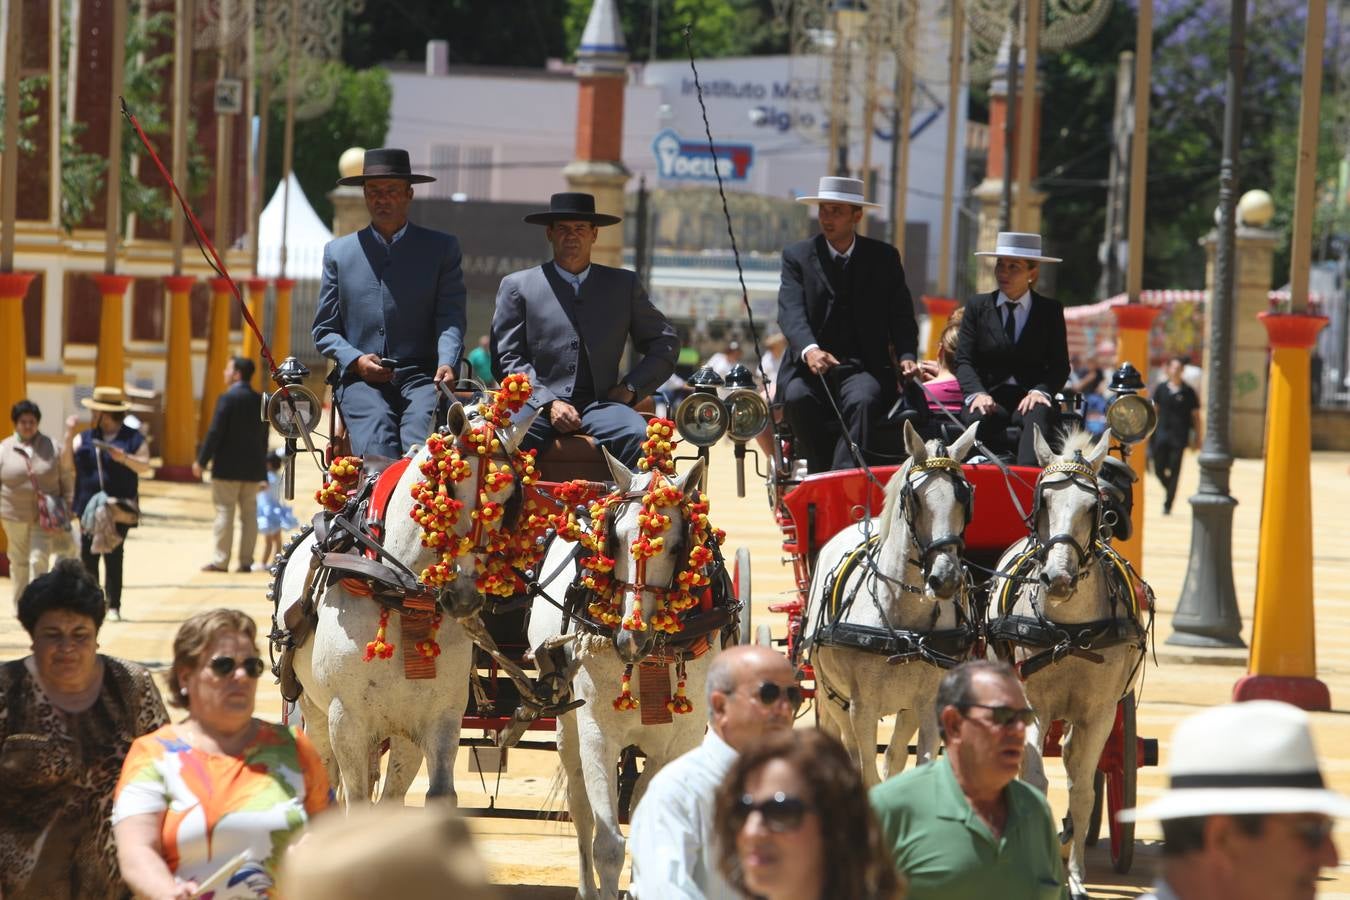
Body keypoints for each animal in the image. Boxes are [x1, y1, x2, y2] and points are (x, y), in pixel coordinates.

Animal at [279, 404, 537, 804]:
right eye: (448, 488)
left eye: (510, 498)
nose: (464, 596)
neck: (400, 594)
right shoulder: (347, 720)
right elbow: (354, 797)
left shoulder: (440, 718)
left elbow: (439, 793)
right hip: (313, 710)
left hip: (401, 731)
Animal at [529, 453, 718, 900]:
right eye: (613, 541)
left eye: (677, 545)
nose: (630, 640)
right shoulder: (598, 734)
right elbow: (608, 844)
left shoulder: (679, 741)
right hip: (568, 723)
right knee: (580, 807)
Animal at [799, 418, 982, 782]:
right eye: (915, 499)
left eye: (965, 497)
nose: (946, 578)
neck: (906, 626)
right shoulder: (861, 707)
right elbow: (865, 768)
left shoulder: (928, 703)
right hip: (832, 695)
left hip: (906, 707)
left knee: (895, 754)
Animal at [988, 431, 1144, 900]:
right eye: (1043, 501)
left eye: (1095, 506)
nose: (1057, 578)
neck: (1069, 630)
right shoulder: (1031, 707)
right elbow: (1035, 779)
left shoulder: (1099, 713)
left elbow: (1082, 790)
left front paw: (1074, 875)